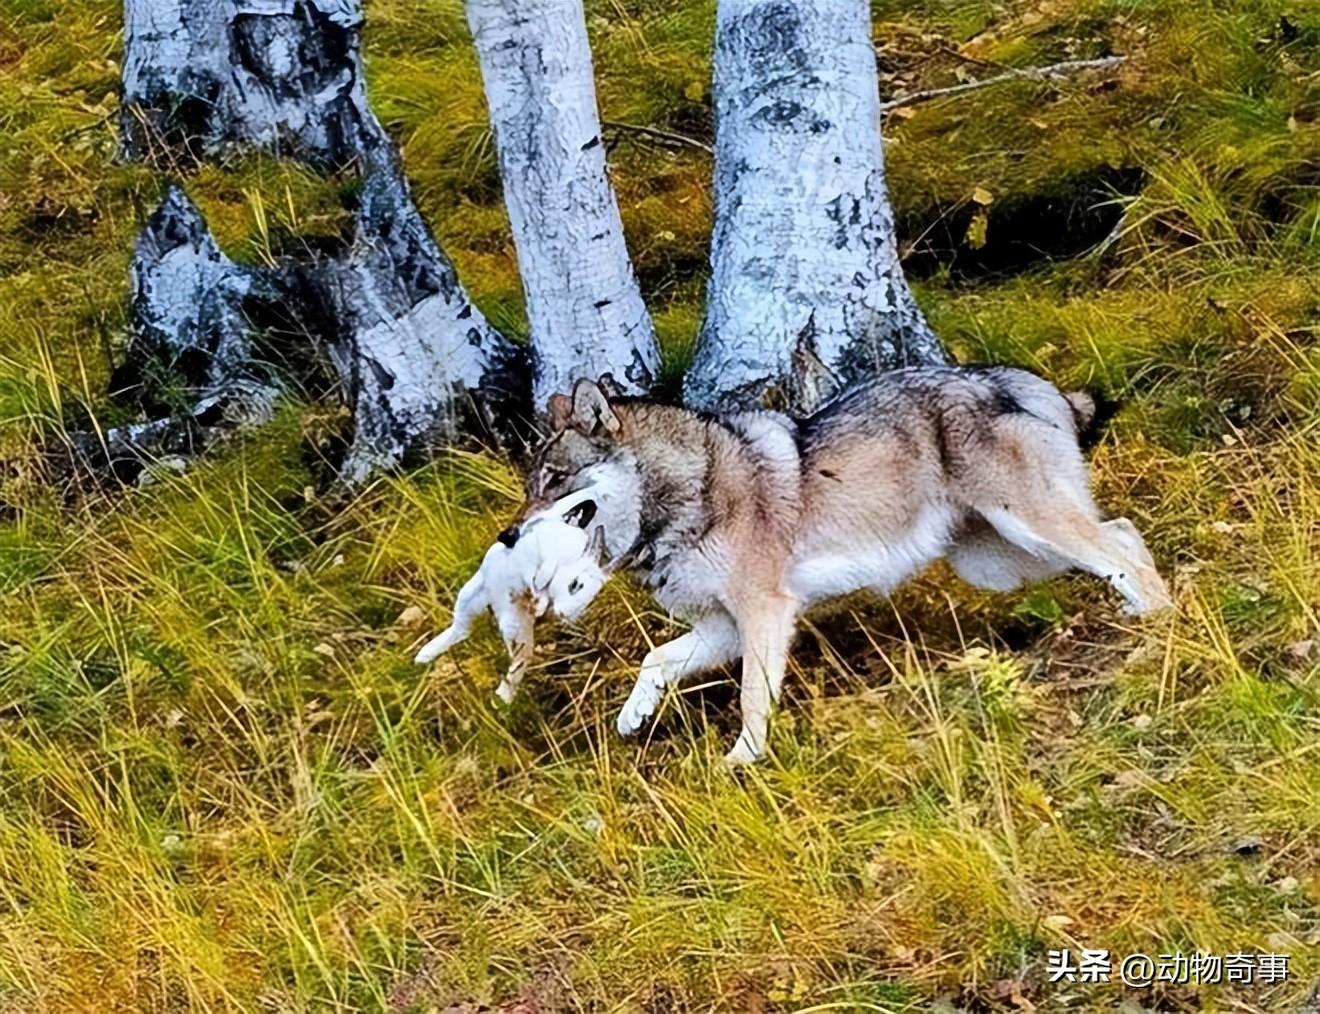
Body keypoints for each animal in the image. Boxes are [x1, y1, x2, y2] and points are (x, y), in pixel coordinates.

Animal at [414, 488, 609, 707]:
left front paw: (540, 605)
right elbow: (540, 575)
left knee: (506, 654)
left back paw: (500, 700)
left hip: (510, 625)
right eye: (575, 584)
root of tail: (493, 599)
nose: (567, 615)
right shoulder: (538, 557)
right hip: (470, 596)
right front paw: (539, 599)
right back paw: (423, 656)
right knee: (462, 629)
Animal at [520, 369, 1172, 765]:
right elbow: (654, 662)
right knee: (1124, 534)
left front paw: (743, 761)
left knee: (1117, 547)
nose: (509, 534)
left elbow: (752, 698)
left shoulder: (764, 613)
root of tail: (1023, 381)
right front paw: (634, 717)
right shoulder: (723, 627)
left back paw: (1155, 629)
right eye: (529, 487)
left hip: (1030, 529)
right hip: (1001, 561)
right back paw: (1144, 619)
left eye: (554, 480)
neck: (691, 493)